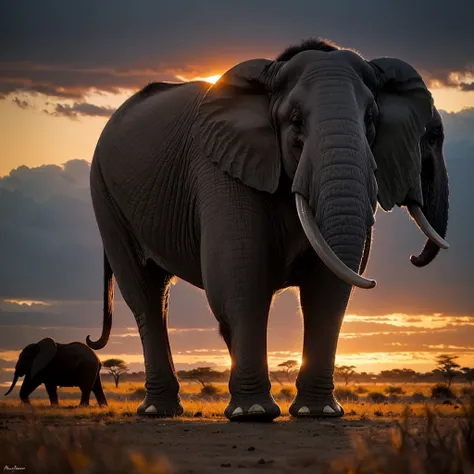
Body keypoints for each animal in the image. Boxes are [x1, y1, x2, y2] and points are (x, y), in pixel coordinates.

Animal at [85, 39, 448, 420]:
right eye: (295, 122)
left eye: (371, 120)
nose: (413, 258)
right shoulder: (222, 166)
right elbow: (242, 279)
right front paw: (255, 413)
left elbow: (327, 286)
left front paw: (318, 413)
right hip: (105, 194)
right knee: (146, 294)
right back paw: (159, 411)